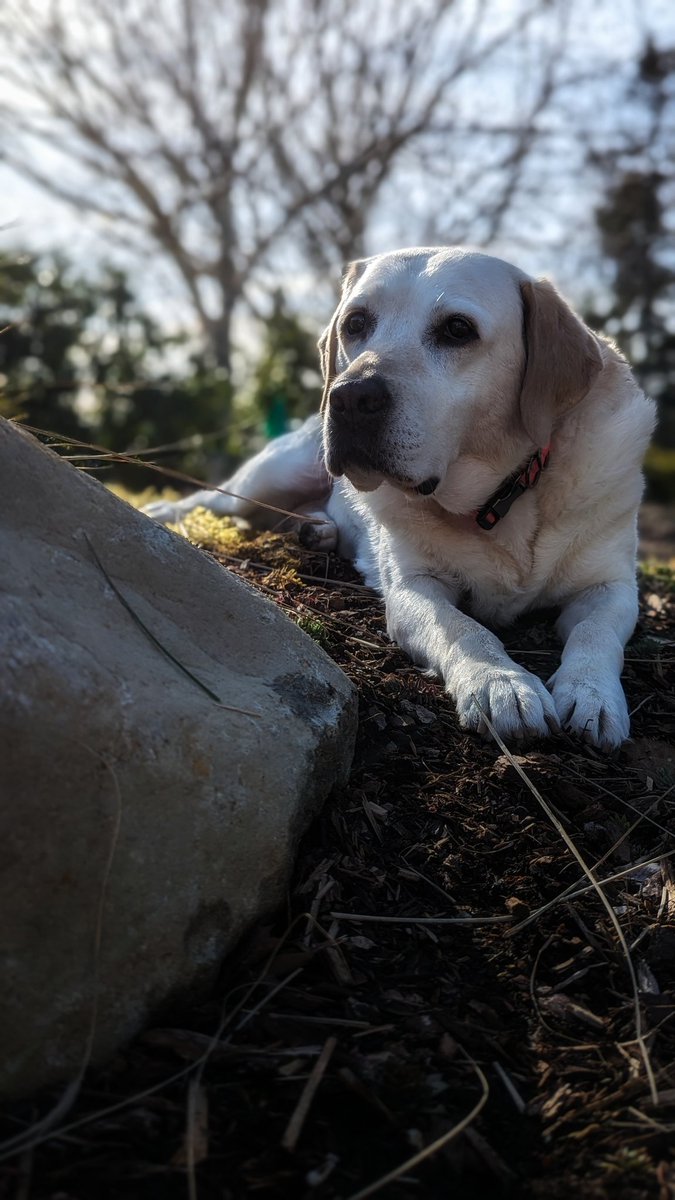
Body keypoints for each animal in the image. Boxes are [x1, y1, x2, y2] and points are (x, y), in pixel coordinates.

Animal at [144, 247, 653, 744]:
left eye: (457, 329)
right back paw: (164, 509)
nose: (348, 398)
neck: (501, 497)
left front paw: (591, 694)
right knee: (215, 501)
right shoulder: (412, 588)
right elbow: (465, 629)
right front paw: (501, 683)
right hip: (275, 475)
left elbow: (595, 633)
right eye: (355, 323)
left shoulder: (612, 587)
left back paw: (317, 530)